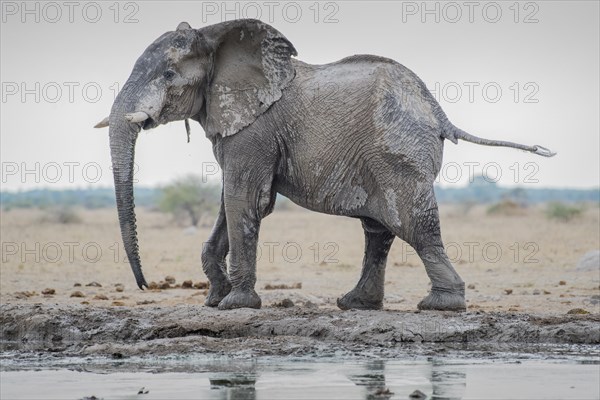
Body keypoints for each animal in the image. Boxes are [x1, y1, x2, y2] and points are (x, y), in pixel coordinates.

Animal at [96, 18, 556, 312]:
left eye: (169, 75)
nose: (145, 285)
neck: (216, 36)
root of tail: (438, 112)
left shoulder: (256, 129)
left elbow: (246, 199)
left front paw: (235, 305)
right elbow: (232, 201)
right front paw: (215, 300)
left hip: (398, 151)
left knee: (414, 225)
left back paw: (441, 305)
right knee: (378, 229)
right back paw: (356, 304)